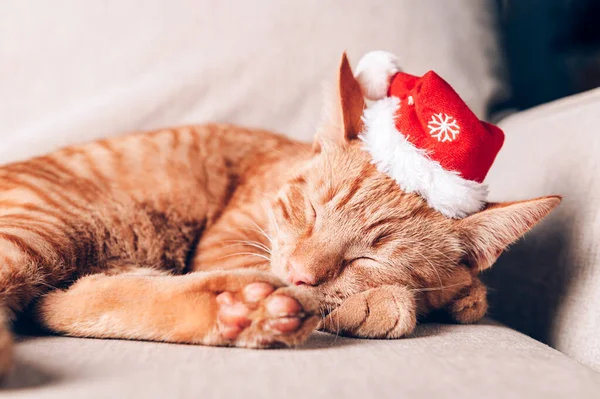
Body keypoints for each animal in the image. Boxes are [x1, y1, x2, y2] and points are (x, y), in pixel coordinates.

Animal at [0, 54, 556, 376]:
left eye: (369, 257)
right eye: (309, 211)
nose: (299, 275)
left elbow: (467, 295)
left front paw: (457, 294)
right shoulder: (225, 244)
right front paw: (381, 303)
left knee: (64, 304)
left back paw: (242, 309)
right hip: (58, 227)